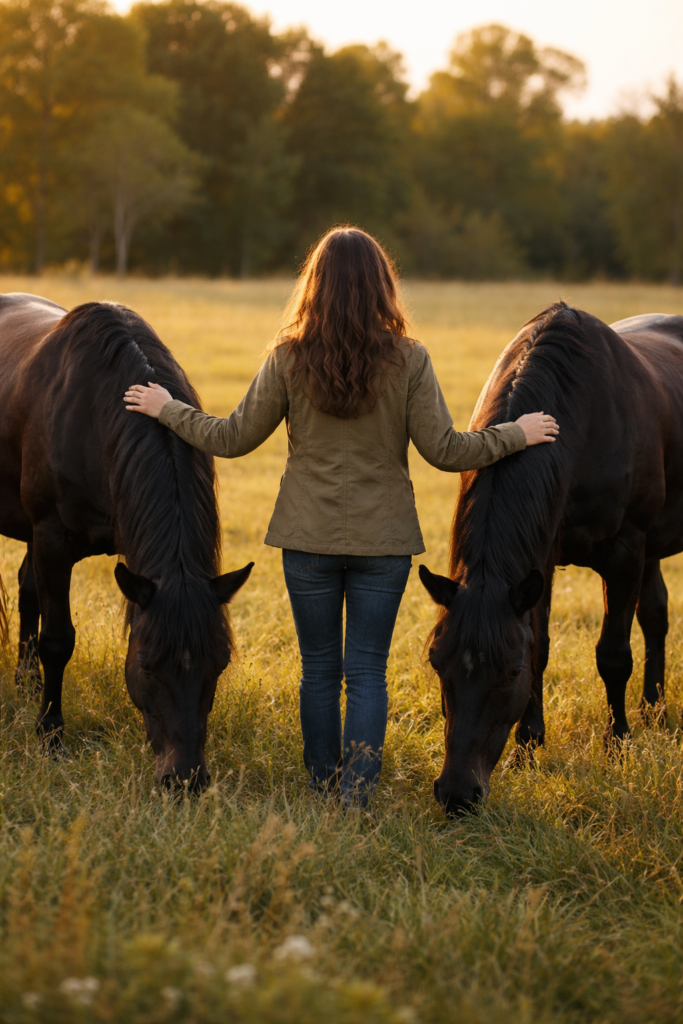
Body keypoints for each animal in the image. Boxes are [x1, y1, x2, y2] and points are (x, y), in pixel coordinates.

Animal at [0, 293, 253, 789]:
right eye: (148, 665)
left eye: (220, 664)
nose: (185, 779)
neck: (93, 415)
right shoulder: (52, 538)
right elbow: (58, 639)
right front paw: (50, 736)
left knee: (26, 589)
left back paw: (26, 682)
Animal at [419, 302, 683, 815]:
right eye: (437, 662)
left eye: (509, 671)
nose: (457, 793)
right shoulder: (537, 565)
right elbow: (540, 646)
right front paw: (527, 749)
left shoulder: (625, 552)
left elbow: (613, 655)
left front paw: (618, 747)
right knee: (656, 615)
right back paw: (654, 710)